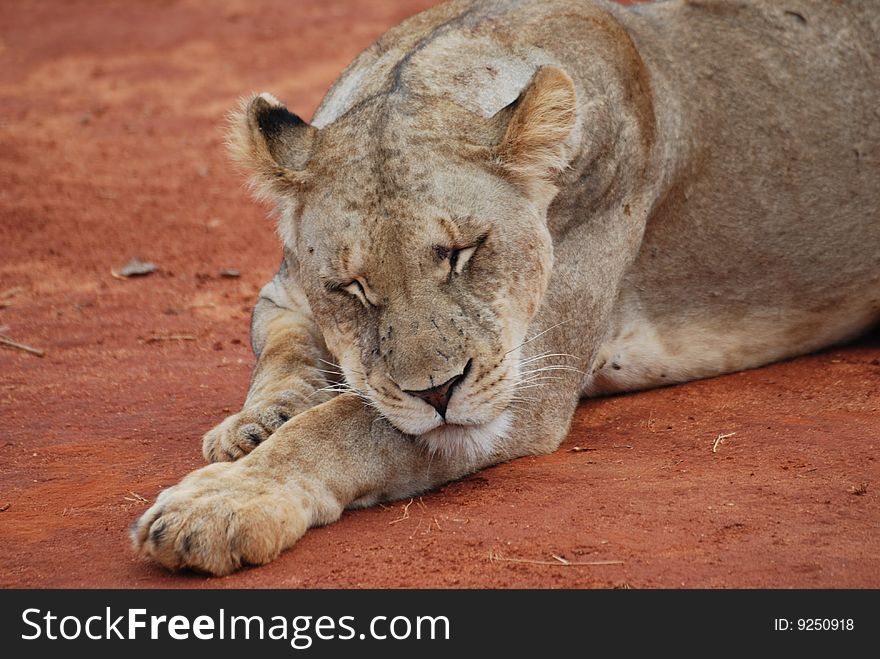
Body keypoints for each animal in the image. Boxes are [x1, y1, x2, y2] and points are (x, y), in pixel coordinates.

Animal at [132, 0, 880, 576]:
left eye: (465, 253)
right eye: (352, 287)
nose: (436, 391)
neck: (425, 73)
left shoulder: (517, 388)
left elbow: (345, 424)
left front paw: (222, 504)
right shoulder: (284, 293)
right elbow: (284, 355)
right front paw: (259, 421)